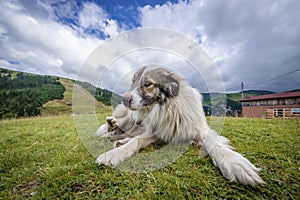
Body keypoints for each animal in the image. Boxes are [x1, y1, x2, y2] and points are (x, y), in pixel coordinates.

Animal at [95, 66, 264, 187]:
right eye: (133, 82)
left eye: (147, 84)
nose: (124, 99)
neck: (168, 107)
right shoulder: (156, 130)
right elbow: (137, 140)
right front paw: (114, 153)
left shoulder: (192, 130)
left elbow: (215, 144)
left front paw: (236, 164)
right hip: (130, 117)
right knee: (119, 128)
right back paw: (112, 126)